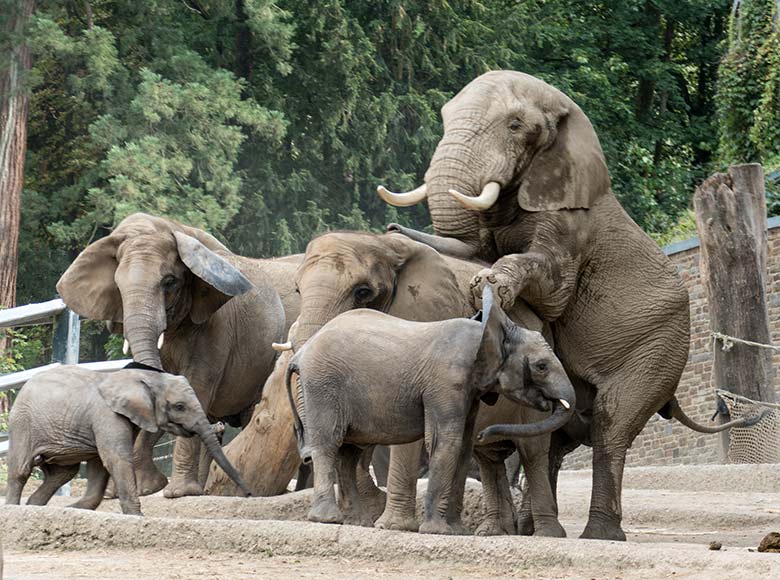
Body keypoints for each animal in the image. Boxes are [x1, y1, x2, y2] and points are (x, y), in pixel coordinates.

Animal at [5, 364, 250, 516]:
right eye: (179, 406)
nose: (249, 494)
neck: (145, 378)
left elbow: (100, 464)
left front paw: (74, 508)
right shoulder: (107, 415)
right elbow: (115, 458)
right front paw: (137, 516)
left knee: (63, 473)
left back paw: (34, 507)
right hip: (22, 424)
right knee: (21, 470)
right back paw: (14, 508)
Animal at [56, 213, 300, 498]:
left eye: (169, 282)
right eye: (117, 286)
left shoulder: (216, 326)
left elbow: (196, 387)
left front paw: (176, 493)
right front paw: (143, 488)